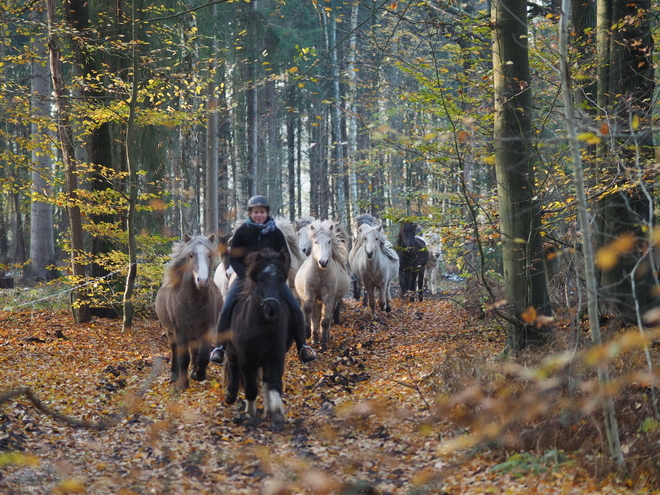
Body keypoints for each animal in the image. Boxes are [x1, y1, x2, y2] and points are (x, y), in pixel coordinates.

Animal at [223, 248, 292, 430]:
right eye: (260, 279)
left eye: (281, 279)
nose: (271, 308)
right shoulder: (247, 360)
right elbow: (251, 387)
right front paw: (250, 415)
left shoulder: (275, 357)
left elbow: (274, 385)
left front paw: (277, 416)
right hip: (233, 351)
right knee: (232, 365)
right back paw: (231, 395)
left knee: (266, 382)